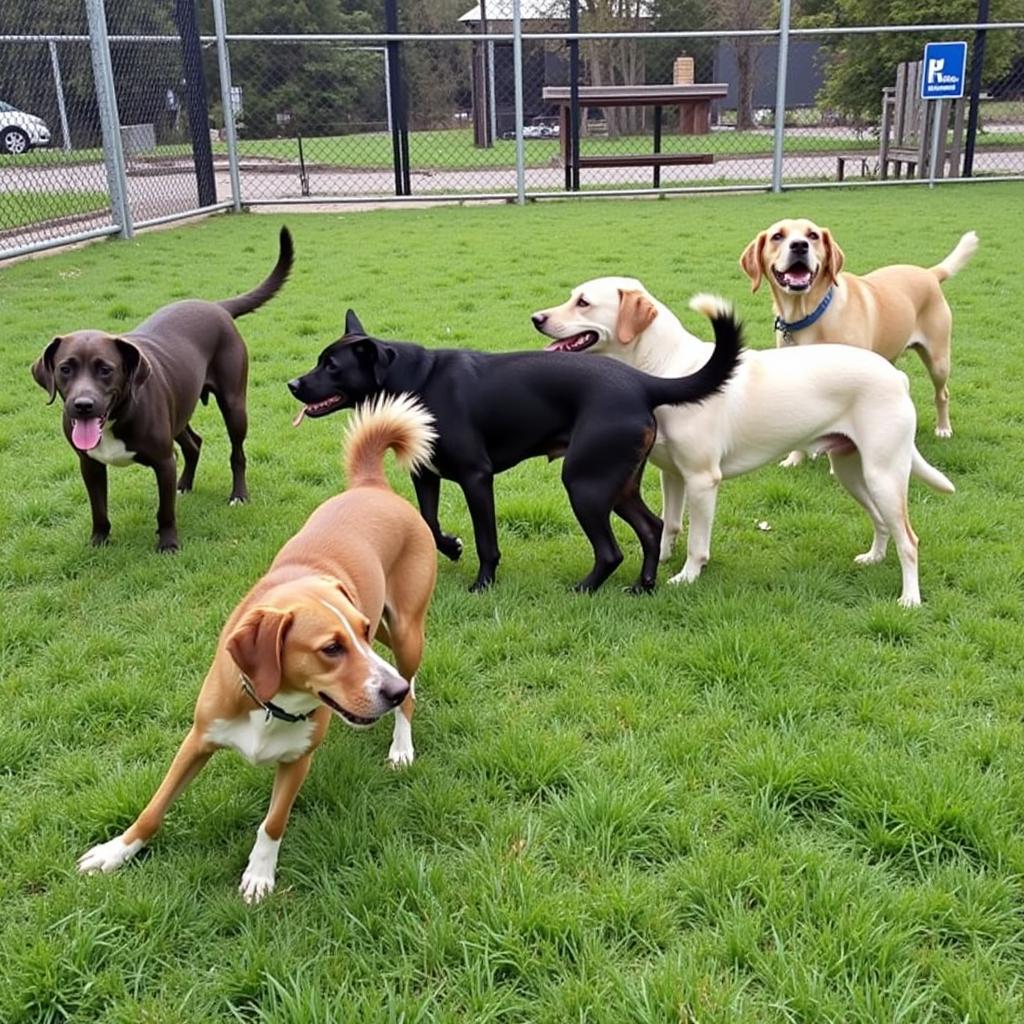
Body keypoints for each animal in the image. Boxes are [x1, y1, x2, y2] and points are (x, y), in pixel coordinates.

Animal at [30, 227, 292, 552]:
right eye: (65, 369)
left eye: (106, 369)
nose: (83, 405)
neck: (116, 417)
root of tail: (216, 306)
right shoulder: (89, 465)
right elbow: (98, 508)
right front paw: (99, 540)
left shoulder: (164, 462)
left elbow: (165, 510)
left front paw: (168, 543)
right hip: (178, 410)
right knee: (194, 443)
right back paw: (185, 485)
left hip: (234, 406)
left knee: (237, 454)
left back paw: (238, 494)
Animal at [74, 395, 436, 901]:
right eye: (332, 648)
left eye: (355, 636)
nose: (391, 690)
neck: (270, 703)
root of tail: (372, 485)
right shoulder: (197, 740)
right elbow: (154, 805)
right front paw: (116, 852)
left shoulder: (298, 761)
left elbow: (273, 823)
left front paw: (259, 875)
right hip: (391, 634)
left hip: (401, 630)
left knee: (411, 687)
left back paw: (402, 739)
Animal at [284, 307, 741, 589]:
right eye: (320, 360)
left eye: (332, 366)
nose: (292, 384)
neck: (415, 382)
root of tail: (641, 383)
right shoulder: (425, 474)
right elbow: (428, 521)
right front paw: (451, 547)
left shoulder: (476, 477)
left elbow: (486, 539)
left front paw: (483, 583)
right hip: (616, 482)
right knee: (652, 527)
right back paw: (643, 586)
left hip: (585, 483)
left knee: (610, 551)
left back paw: (585, 588)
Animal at [532, 276, 954, 602]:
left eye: (583, 302)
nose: (537, 318)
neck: (665, 371)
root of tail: (896, 376)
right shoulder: (672, 475)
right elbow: (669, 525)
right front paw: (662, 560)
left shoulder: (703, 480)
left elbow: (697, 542)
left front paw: (686, 577)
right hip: (852, 472)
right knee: (882, 522)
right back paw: (874, 558)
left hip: (884, 475)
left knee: (909, 540)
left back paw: (910, 599)